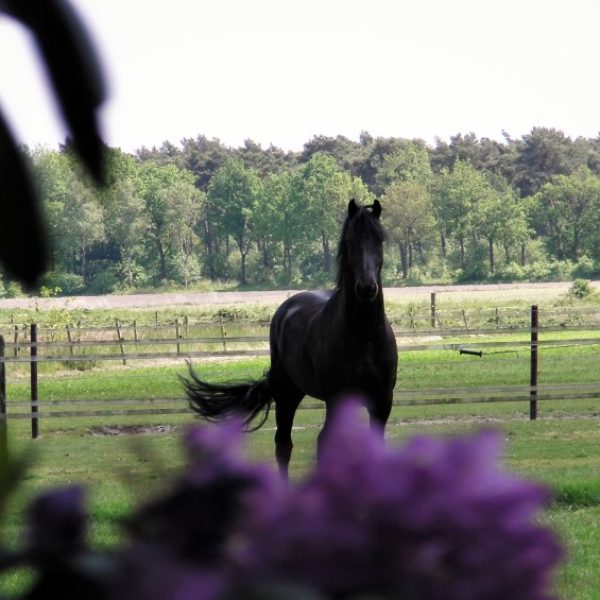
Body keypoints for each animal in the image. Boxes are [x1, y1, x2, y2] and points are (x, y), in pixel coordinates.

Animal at [183, 199, 398, 480]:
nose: (366, 288)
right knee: (283, 445)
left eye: (379, 239)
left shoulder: (382, 402)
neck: (364, 335)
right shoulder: (337, 400)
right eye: (350, 240)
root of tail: (285, 309)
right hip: (286, 394)